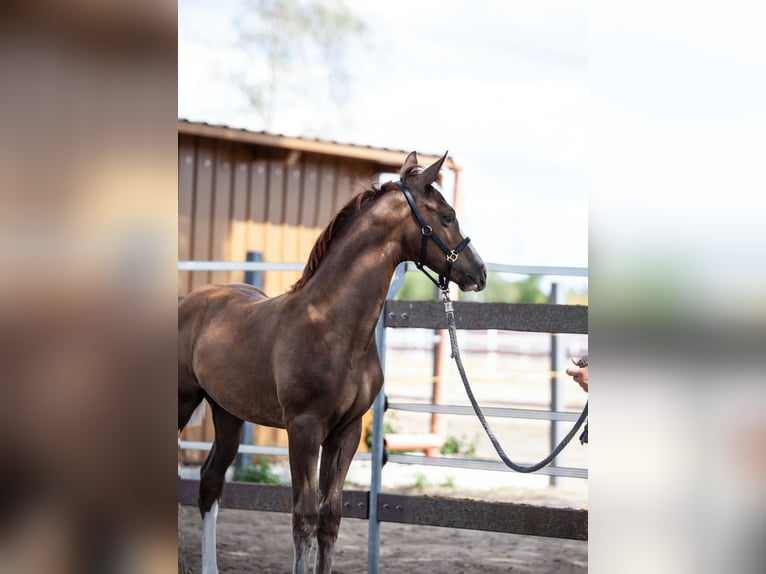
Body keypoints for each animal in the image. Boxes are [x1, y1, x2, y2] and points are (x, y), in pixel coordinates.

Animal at [178, 150, 487, 574]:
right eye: (447, 215)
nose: (480, 273)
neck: (331, 325)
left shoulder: (346, 432)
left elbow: (331, 518)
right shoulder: (303, 429)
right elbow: (305, 518)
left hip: (228, 414)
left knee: (210, 482)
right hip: (183, 402)